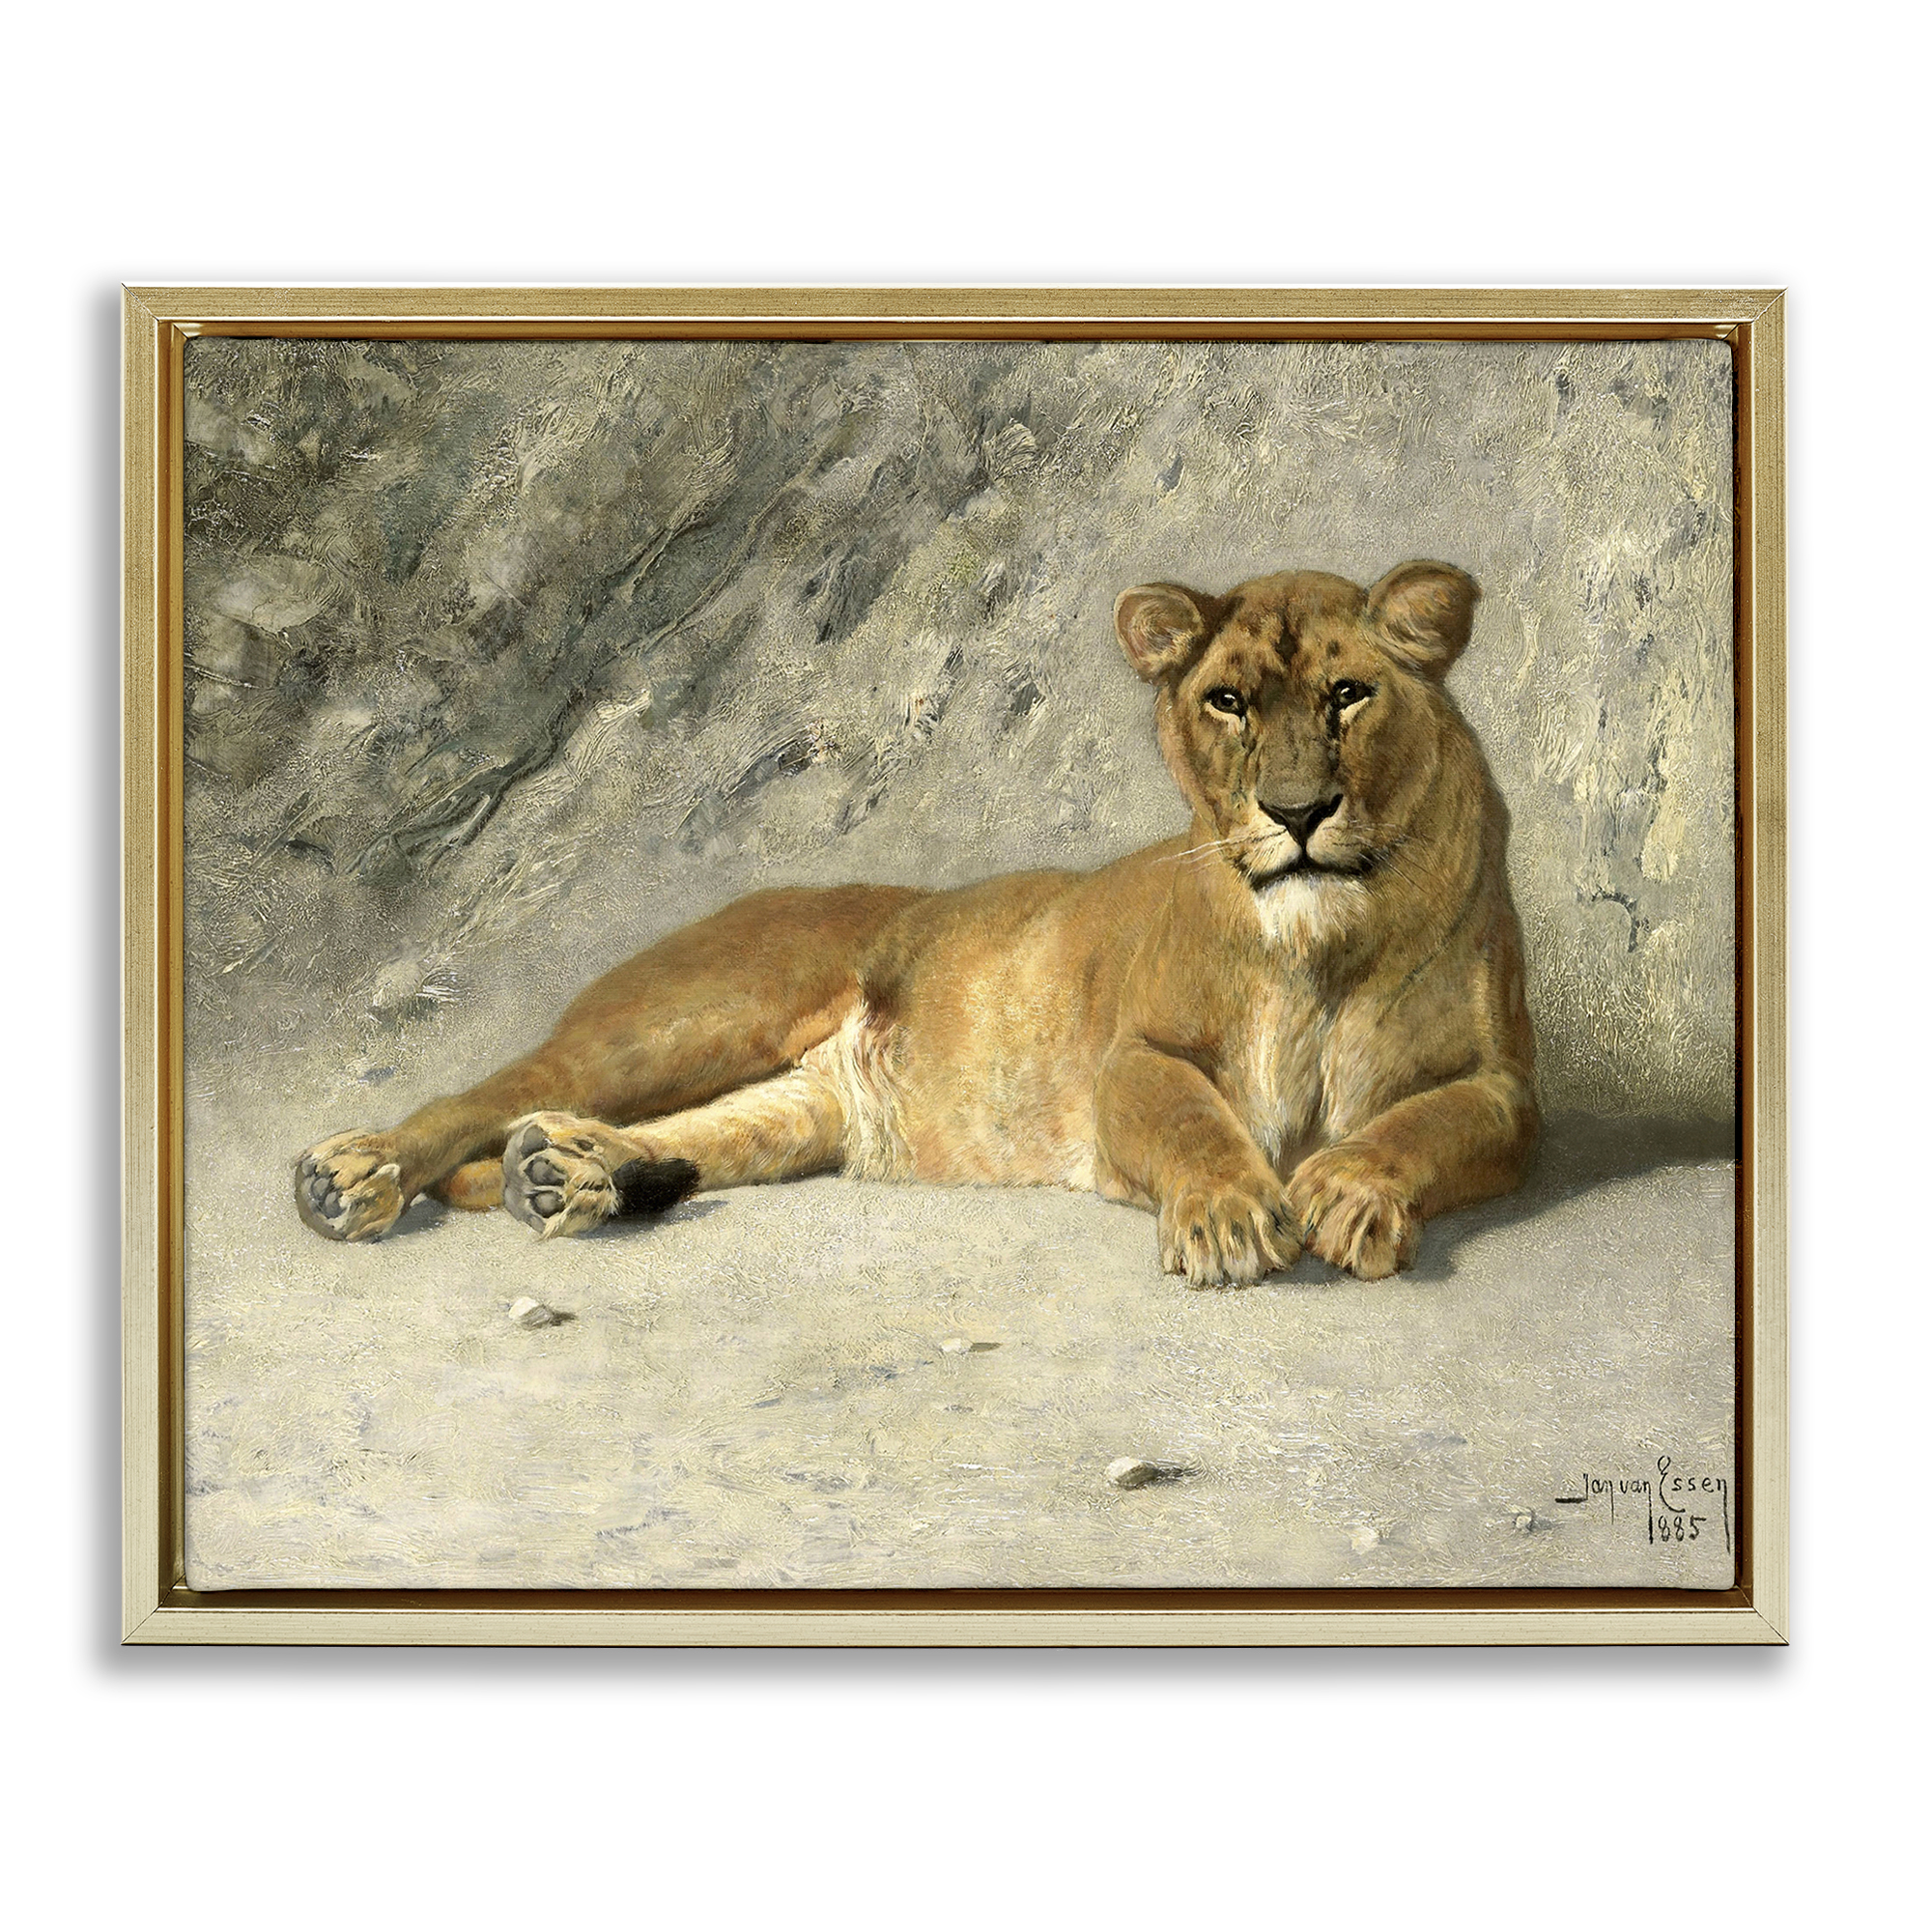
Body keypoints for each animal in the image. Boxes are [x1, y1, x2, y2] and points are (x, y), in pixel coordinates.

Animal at [294, 561, 1538, 1284]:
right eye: (1226, 701)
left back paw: (570, 1175)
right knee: (495, 1093)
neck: (1321, 942)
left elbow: (1423, 1124)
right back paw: (353, 1175)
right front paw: (1232, 1215)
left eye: (1347, 694)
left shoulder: (1504, 1089)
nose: (1296, 811)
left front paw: (1348, 1188)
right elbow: (1192, 1117)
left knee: (683, 1133)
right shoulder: (1130, 1056)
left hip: (798, 1109)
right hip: (689, 1017)